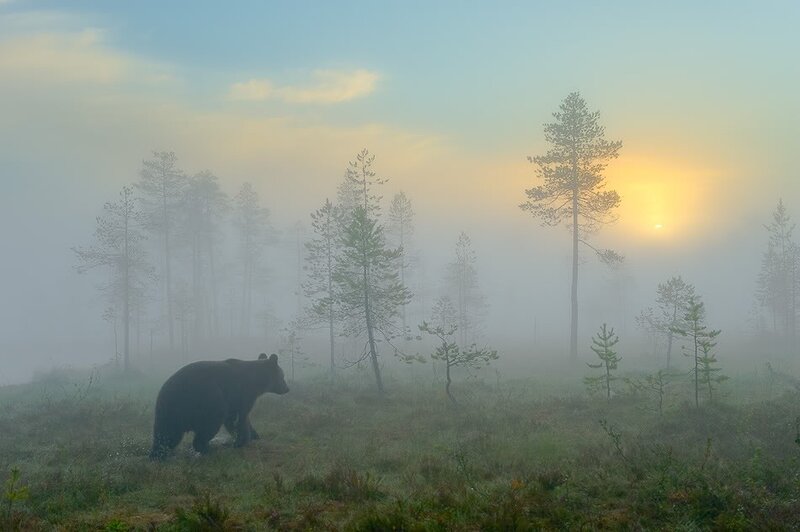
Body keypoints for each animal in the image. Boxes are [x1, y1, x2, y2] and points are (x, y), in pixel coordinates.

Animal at [149, 353, 289, 460]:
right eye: (282, 375)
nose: (287, 388)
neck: (256, 381)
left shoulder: (234, 400)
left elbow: (234, 418)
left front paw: (254, 436)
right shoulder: (242, 394)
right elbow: (241, 417)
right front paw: (242, 440)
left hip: (168, 411)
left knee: (166, 434)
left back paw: (158, 454)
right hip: (209, 399)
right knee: (209, 425)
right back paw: (208, 449)